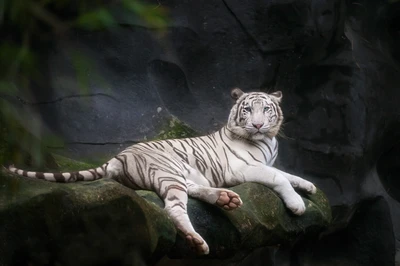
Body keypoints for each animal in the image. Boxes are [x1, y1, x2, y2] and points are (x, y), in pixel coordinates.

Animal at [7, 89, 318, 256]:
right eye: (247, 110)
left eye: (267, 109)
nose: (257, 125)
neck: (267, 140)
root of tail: (117, 157)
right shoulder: (243, 168)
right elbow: (279, 177)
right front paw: (297, 205)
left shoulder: (266, 163)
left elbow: (289, 174)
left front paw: (309, 186)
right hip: (169, 170)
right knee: (173, 209)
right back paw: (197, 240)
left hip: (181, 174)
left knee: (190, 192)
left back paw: (225, 200)